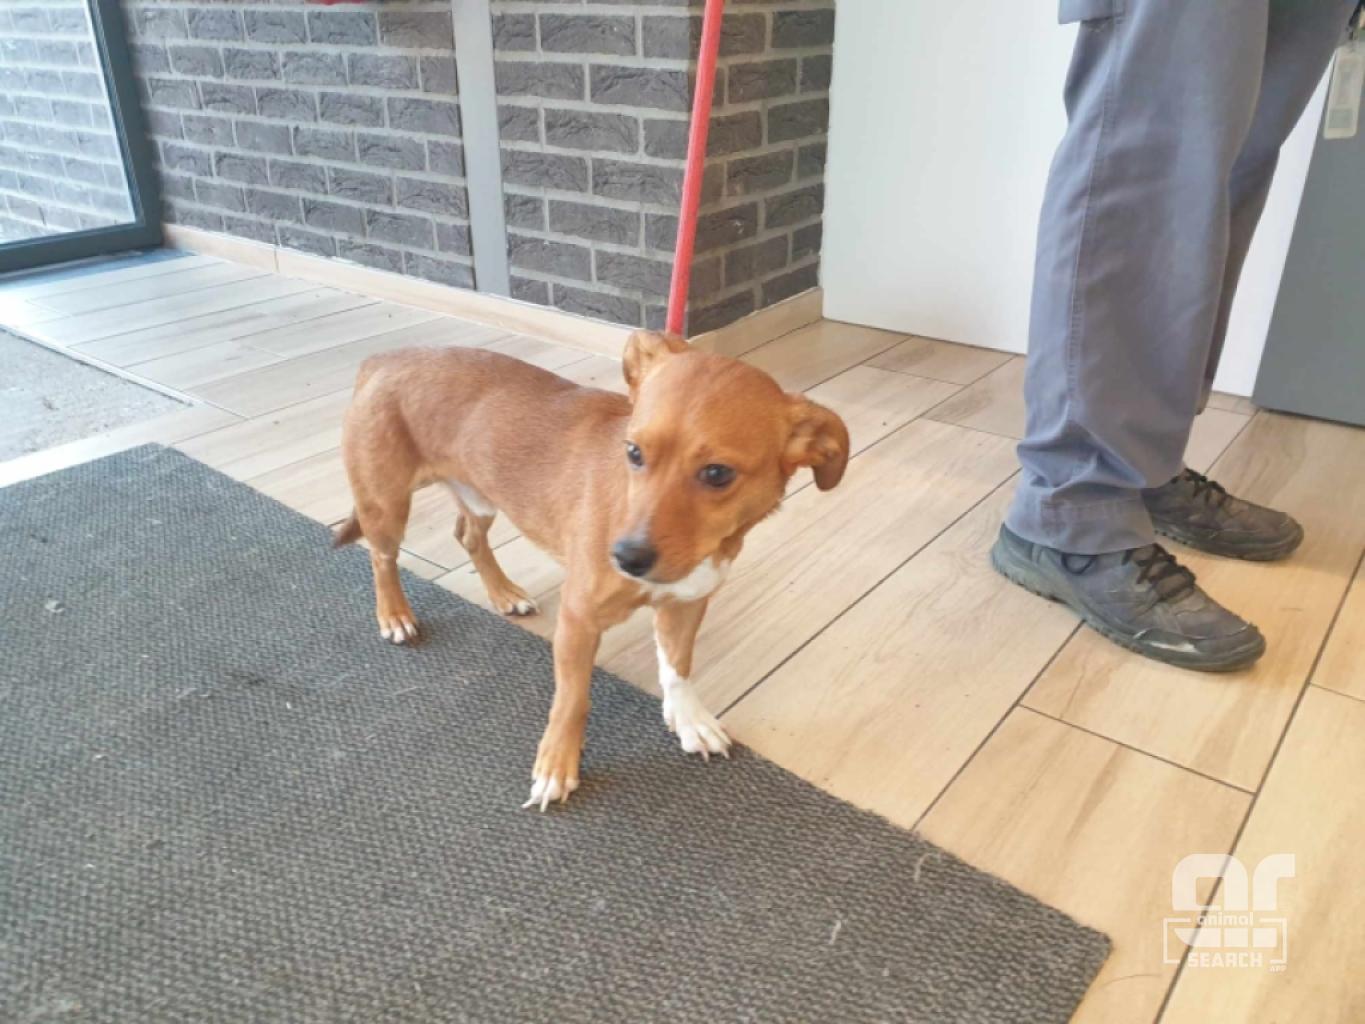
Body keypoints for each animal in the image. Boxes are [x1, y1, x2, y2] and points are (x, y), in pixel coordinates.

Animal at [334, 331, 850, 809]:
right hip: (386, 503)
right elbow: (572, 701)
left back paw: (503, 593)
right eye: (634, 453)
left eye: (717, 473)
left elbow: (678, 666)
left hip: (479, 497)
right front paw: (556, 766)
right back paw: (395, 615)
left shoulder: (686, 604)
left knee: (468, 536)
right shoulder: (579, 619)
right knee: (382, 558)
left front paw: (688, 718)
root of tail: (384, 358)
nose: (624, 557)